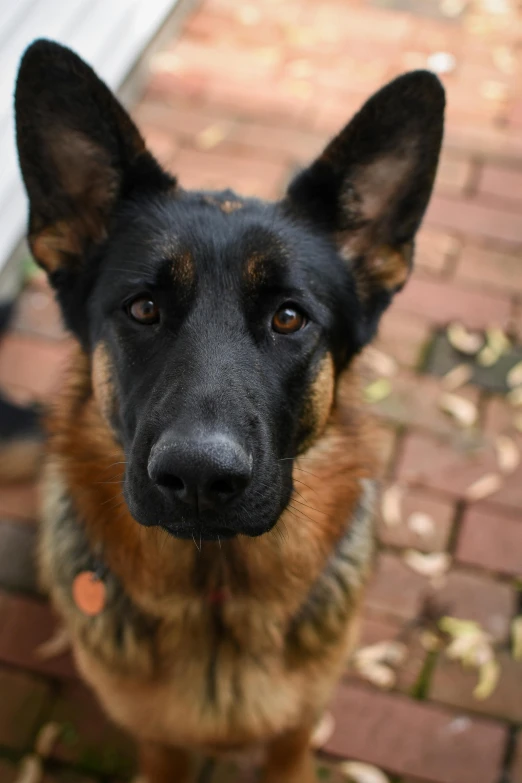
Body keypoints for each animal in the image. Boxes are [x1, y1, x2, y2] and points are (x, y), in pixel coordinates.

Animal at [13, 41, 442, 783]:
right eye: (143, 308)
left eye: (289, 317)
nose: (198, 477)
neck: (218, 594)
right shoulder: (158, 745)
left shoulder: (295, 734)